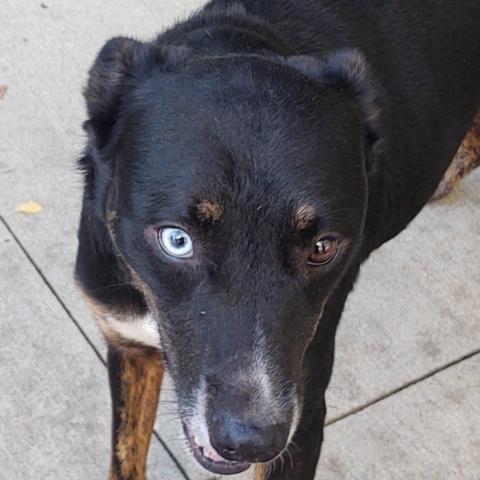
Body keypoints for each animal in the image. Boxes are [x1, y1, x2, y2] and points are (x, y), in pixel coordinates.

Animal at [74, 1, 480, 478]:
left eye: (322, 247)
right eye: (177, 240)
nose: (251, 441)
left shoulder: (305, 416)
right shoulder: (127, 341)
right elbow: (126, 455)